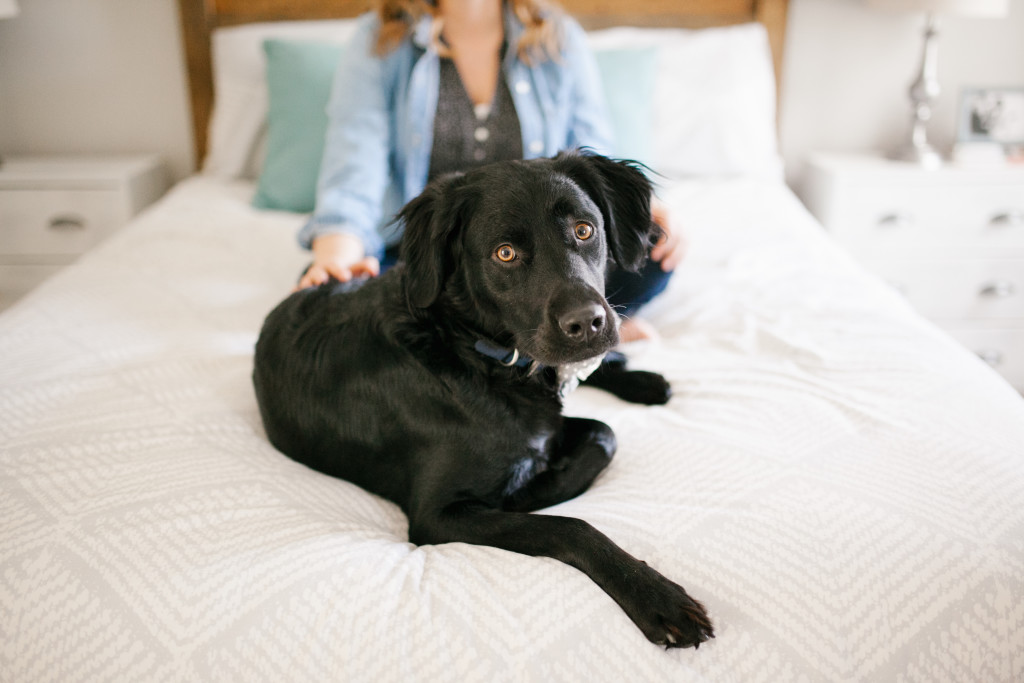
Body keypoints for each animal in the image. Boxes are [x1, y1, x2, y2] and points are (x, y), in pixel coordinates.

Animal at [251, 152, 712, 651]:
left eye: (585, 229)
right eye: (504, 253)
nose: (587, 323)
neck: (470, 348)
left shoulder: (543, 426)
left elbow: (604, 434)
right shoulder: (436, 516)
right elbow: (570, 523)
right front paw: (656, 596)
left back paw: (641, 377)